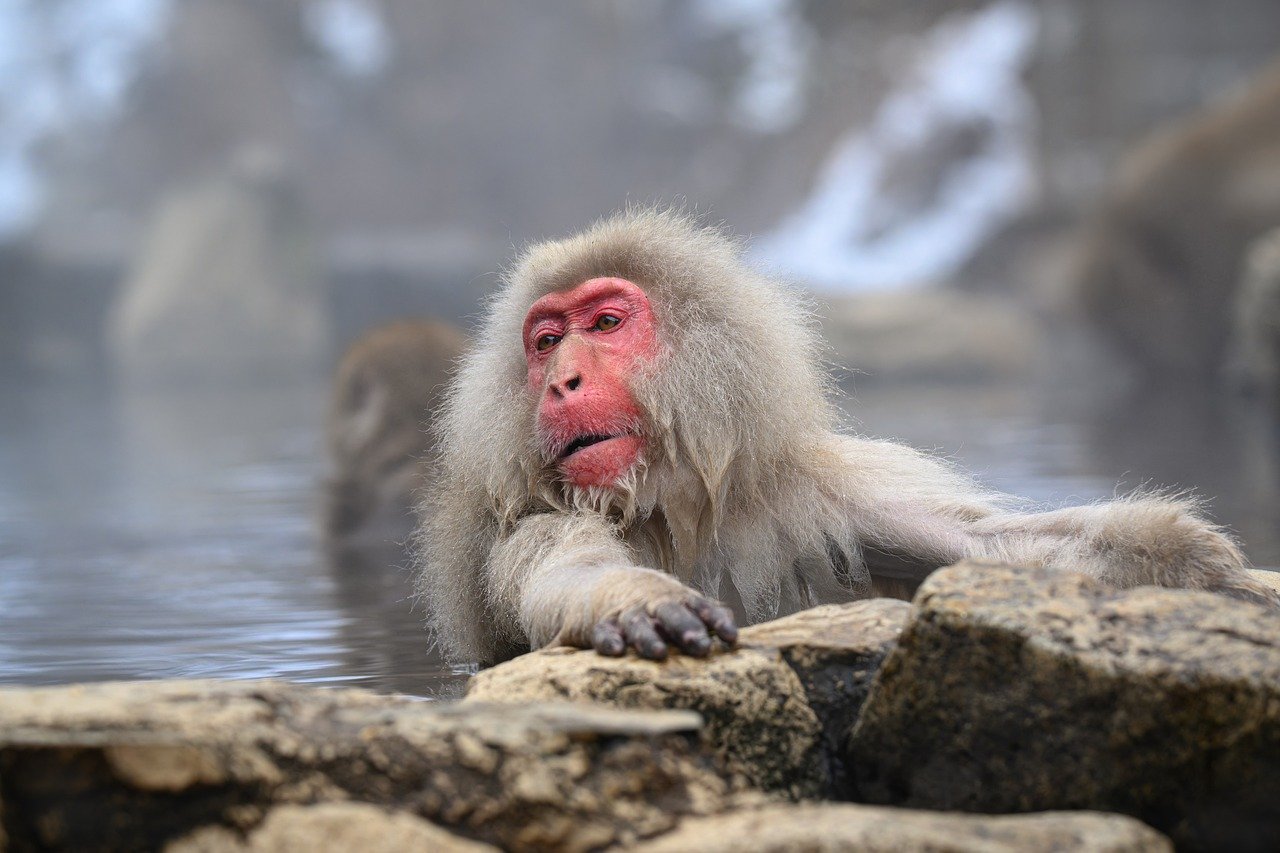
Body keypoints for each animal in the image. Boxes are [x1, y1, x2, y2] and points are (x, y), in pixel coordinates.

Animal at [416, 209, 1280, 667]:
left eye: (603, 323)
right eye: (544, 341)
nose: (561, 380)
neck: (674, 509)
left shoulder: (818, 492)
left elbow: (992, 547)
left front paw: (1191, 562)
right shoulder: (533, 523)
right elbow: (568, 573)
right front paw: (635, 598)